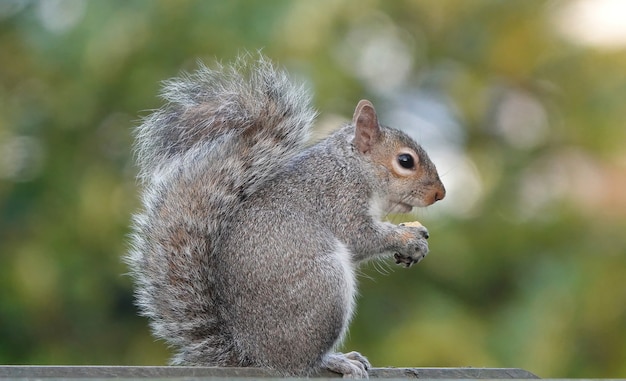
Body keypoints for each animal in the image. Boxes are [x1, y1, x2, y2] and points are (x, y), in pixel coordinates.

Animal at [125, 56, 444, 378]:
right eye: (405, 161)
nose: (439, 194)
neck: (351, 167)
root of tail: (253, 355)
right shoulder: (339, 201)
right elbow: (360, 237)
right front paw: (409, 239)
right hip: (322, 288)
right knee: (301, 364)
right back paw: (335, 360)